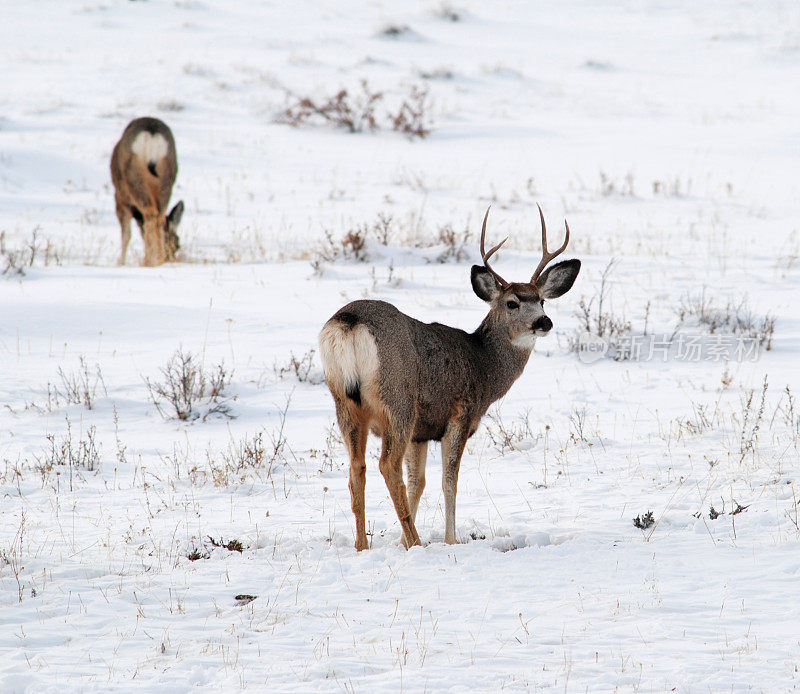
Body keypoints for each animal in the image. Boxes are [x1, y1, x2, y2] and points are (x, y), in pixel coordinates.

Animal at [111, 118, 184, 266]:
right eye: (177, 245)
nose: (170, 257)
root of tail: (152, 134)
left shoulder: (120, 198)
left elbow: (126, 234)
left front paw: (120, 261)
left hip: (133, 177)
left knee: (149, 214)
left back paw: (149, 261)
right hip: (167, 178)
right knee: (159, 217)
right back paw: (158, 259)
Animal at [318, 204, 580, 552]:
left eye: (542, 300)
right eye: (512, 303)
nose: (544, 322)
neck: (484, 365)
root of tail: (349, 321)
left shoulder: (422, 432)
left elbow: (418, 482)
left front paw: (400, 541)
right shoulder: (460, 414)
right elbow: (448, 480)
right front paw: (449, 540)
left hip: (345, 402)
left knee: (356, 468)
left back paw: (364, 545)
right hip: (398, 399)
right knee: (387, 465)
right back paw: (416, 542)